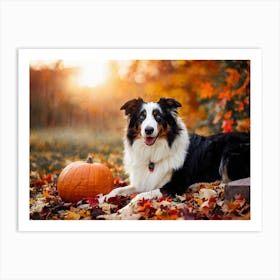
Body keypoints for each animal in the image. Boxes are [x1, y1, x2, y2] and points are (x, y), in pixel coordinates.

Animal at [101, 98, 250, 210]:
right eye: (142, 117)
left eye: (158, 116)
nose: (148, 130)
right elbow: (118, 190)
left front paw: (125, 208)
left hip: (230, 152)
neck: (153, 152)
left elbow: (141, 195)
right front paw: (104, 197)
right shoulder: (142, 181)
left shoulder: (175, 186)